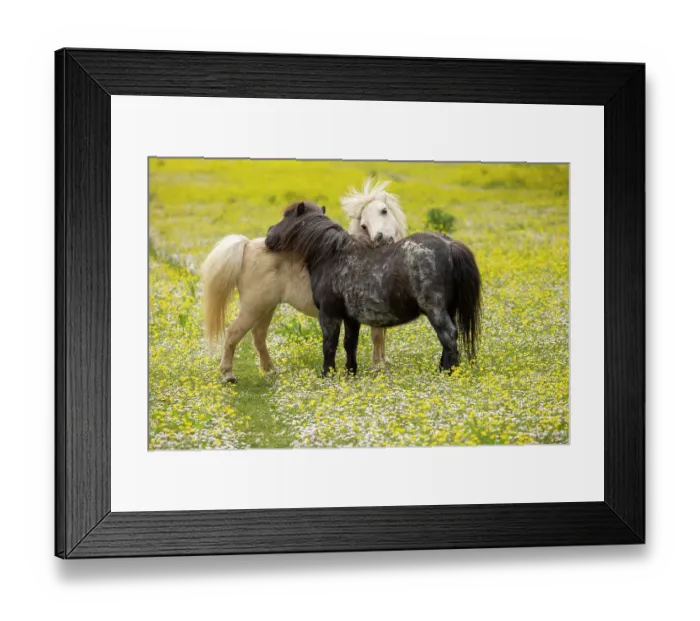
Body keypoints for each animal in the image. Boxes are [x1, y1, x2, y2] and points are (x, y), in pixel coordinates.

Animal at [201, 178, 408, 383]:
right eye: (363, 224)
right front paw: (377, 365)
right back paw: (228, 374)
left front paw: (382, 362)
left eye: (384, 210)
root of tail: (247, 245)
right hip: (253, 307)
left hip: (267, 307)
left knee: (259, 336)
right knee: (233, 334)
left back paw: (270, 370)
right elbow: (376, 337)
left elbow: (377, 336)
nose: (381, 237)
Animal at [265, 202, 482, 376]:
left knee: (448, 336)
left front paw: (327, 374)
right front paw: (350, 372)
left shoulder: (329, 315)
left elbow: (329, 345)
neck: (333, 256)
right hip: (449, 309)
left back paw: (449, 373)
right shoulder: (351, 318)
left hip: (435, 310)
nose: (268, 235)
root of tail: (449, 244)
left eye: (286, 216)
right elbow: (350, 344)